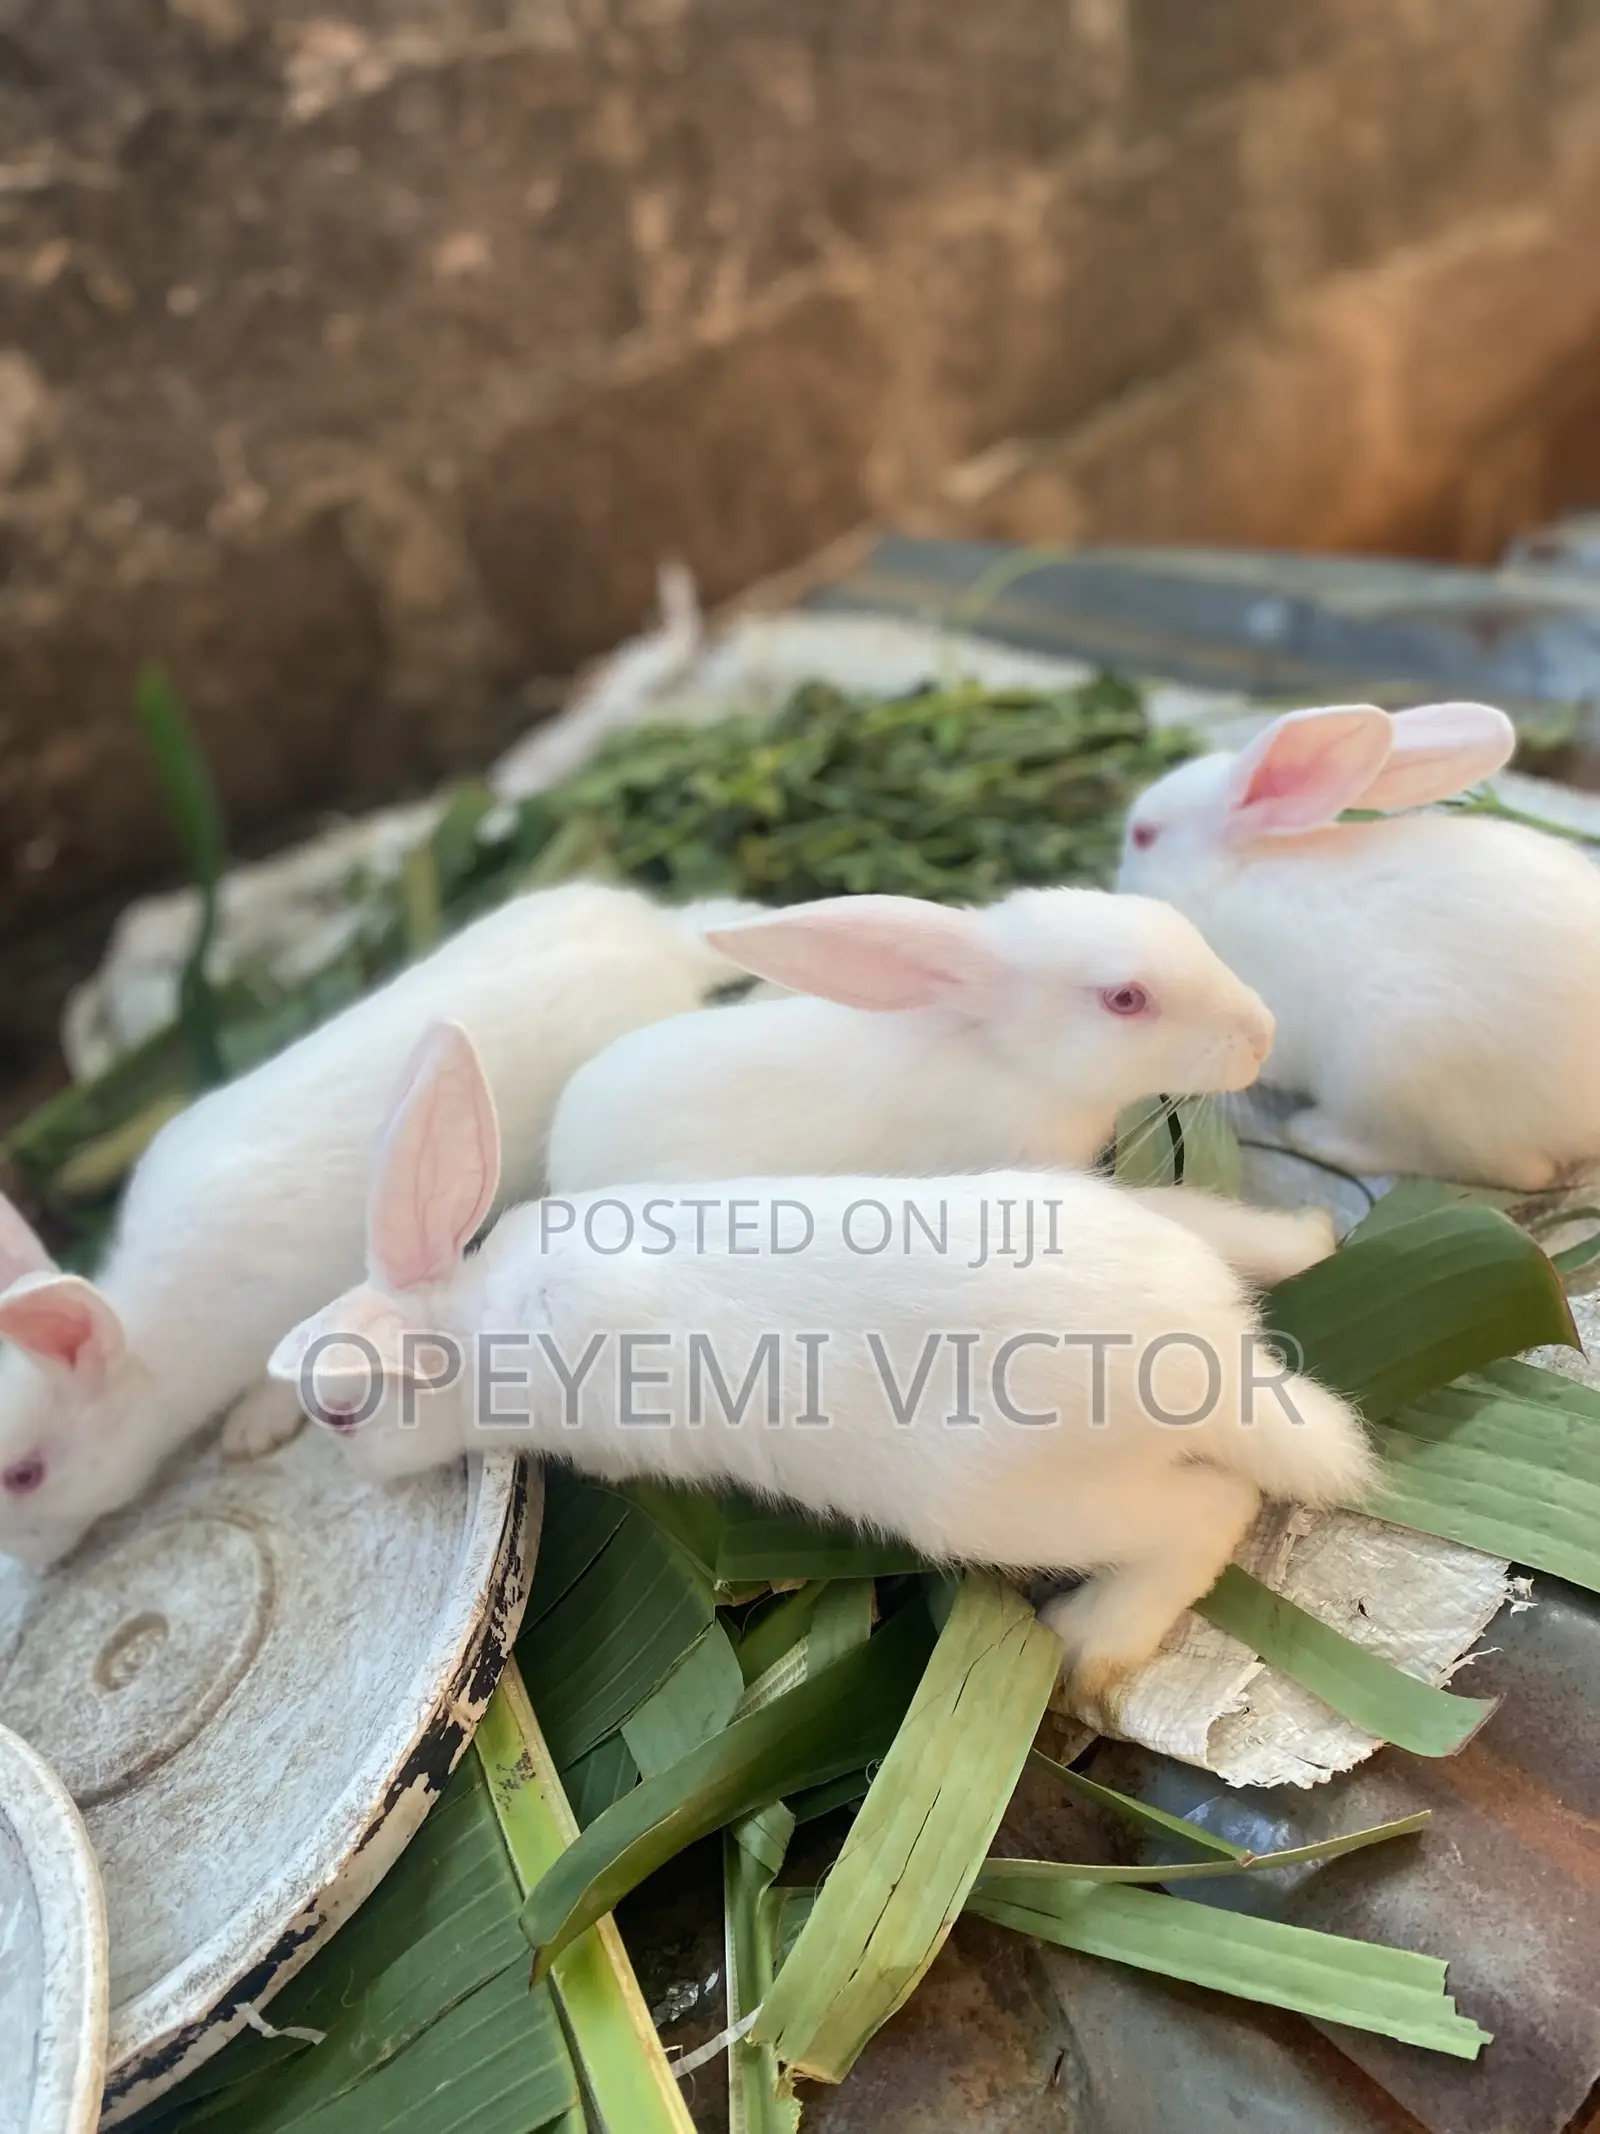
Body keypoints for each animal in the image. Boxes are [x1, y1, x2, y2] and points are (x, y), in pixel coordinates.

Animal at [268, 1021, 1373, 1706]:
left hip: (1005, 1507)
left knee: (1212, 1509)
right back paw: (1314, 1235)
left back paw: (1087, 1646)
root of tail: (1221, 1363)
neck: (471, 1317)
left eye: (341, 1412)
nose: (354, 1471)